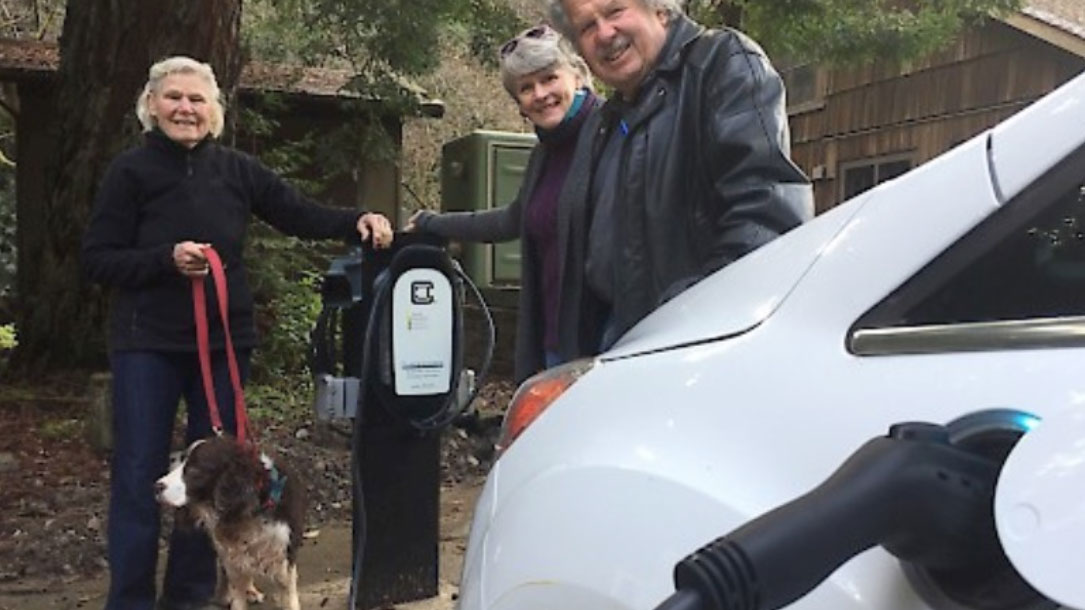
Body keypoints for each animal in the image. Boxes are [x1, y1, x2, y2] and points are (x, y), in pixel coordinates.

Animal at [154, 434, 305, 603]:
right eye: (182, 461)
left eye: (194, 470)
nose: (156, 486)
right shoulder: (232, 557)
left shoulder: (285, 558)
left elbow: (289, 594)